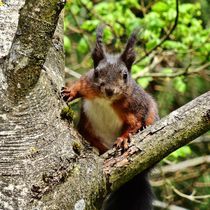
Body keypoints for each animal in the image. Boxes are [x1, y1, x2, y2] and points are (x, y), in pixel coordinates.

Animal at [61, 26, 158, 210]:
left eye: (125, 75)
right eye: (97, 72)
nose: (109, 90)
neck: (106, 100)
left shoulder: (136, 106)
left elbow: (134, 123)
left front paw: (125, 137)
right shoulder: (88, 83)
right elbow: (80, 84)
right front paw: (70, 91)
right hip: (88, 132)